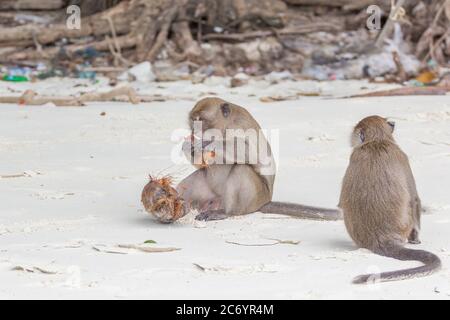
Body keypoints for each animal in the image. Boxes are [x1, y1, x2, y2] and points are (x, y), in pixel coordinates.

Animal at [165, 97, 342, 221]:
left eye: (201, 120)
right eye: (192, 120)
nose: (193, 130)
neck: (225, 126)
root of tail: (265, 201)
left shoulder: (240, 126)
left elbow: (249, 153)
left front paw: (206, 142)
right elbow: (201, 166)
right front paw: (188, 145)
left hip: (256, 197)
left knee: (241, 169)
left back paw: (226, 212)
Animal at [340, 116, 442, 284]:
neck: (376, 141)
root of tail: (381, 239)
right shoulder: (401, 155)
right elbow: (415, 199)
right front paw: (416, 239)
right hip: (405, 226)